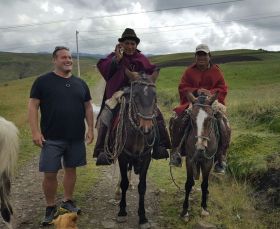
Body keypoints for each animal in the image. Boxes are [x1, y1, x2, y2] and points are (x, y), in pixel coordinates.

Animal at [108, 69, 159, 228]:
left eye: (155, 96)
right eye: (135, 96)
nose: (147, 129)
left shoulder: (146, 158)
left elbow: (142, 186)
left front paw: (142, 216)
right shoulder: (123, 156)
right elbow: (123, 182)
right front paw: (122, 211)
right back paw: (117, 191)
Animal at [180, 91, 220, 222]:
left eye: (210, 118)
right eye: (192, 119)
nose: (200, 147)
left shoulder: (208, 162)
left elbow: (205, 184)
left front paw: (204, 208)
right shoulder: (189, 160)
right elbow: (188, 184)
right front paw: (185, 211)